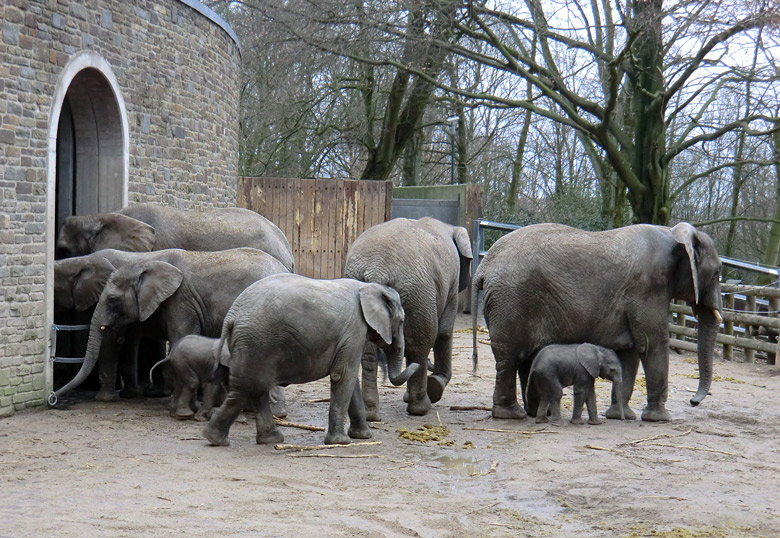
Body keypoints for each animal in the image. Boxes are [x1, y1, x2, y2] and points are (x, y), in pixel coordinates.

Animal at [344, 216, 472, 416]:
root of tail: (377, 269)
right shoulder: (452, 284)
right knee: (421, 345)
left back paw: (370, 413)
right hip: (419, 292)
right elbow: (444, 332)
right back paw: (421, 407)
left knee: (369, 353)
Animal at [472, 220, 724, 420]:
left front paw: (621, 416)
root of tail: (482, 267)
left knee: (524, 359)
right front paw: (660, 419)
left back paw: (536, 413)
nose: (693, 402)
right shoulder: (648, 288)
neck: (673, 233)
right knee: (510, 358)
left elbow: (629, 351)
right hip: (512, 300)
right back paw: (512, 415)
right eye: (717, 273)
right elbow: (651, 344)